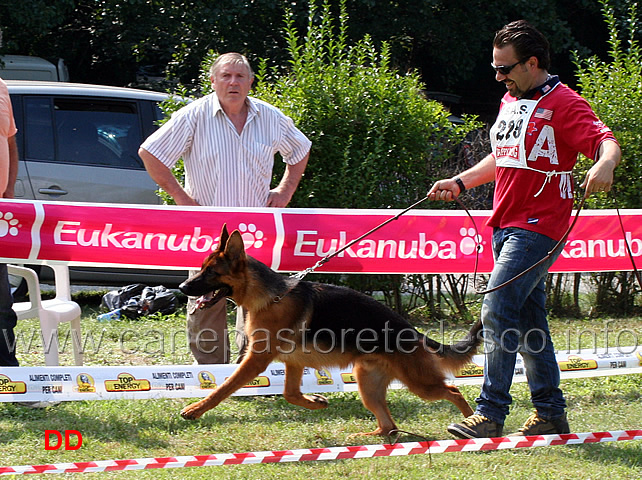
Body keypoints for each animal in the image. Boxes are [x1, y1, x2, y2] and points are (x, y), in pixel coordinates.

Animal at [178, 225, 478, 436]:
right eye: (201, 269)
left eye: (210, 272)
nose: (182, 288)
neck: (269, 296)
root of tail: (413, 331)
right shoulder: (293, 363)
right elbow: (290, 394)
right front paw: (316, 401)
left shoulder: (256, 360)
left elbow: (225, 386)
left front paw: (195, 409)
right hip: (367, 385)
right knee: (389, 426)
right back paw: (370, 435)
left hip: (419, 384)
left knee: (453, 390)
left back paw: (469, 422)